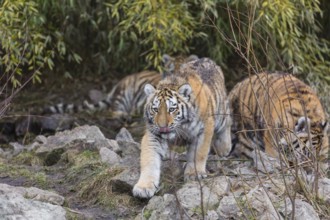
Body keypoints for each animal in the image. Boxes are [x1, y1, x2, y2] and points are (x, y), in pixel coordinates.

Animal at [132, 57, 232, 199]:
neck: (182, 126)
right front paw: (144, 187)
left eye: (171, 109)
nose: (162, 126)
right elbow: (149, 159)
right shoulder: (153, 134)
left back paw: (224, 148)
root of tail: (207, 59)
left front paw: (194, 174)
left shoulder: (206, 127)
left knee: (227, 122)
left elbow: (199, 153)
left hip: (221, 112)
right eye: (155, 110)